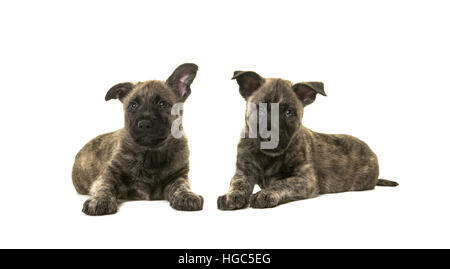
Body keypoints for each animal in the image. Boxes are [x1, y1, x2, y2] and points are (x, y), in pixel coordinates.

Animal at [73, 62, 203, 214]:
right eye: (133, 105)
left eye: (162, 104)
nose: (144, 124)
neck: (151, 154)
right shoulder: (109, 174)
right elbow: (104, 186)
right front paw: (99, 200)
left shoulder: (178, 176)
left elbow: (181, 186)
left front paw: (187, 196)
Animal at [218, 70, 398, 209]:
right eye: (260, 109)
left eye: (288, 113)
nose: (270, 136)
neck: (268, 157)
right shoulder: (243, 172)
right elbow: (237, 183)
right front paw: (231, 196)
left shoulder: (305, 180)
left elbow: (282, 183)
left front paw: (264, 193)